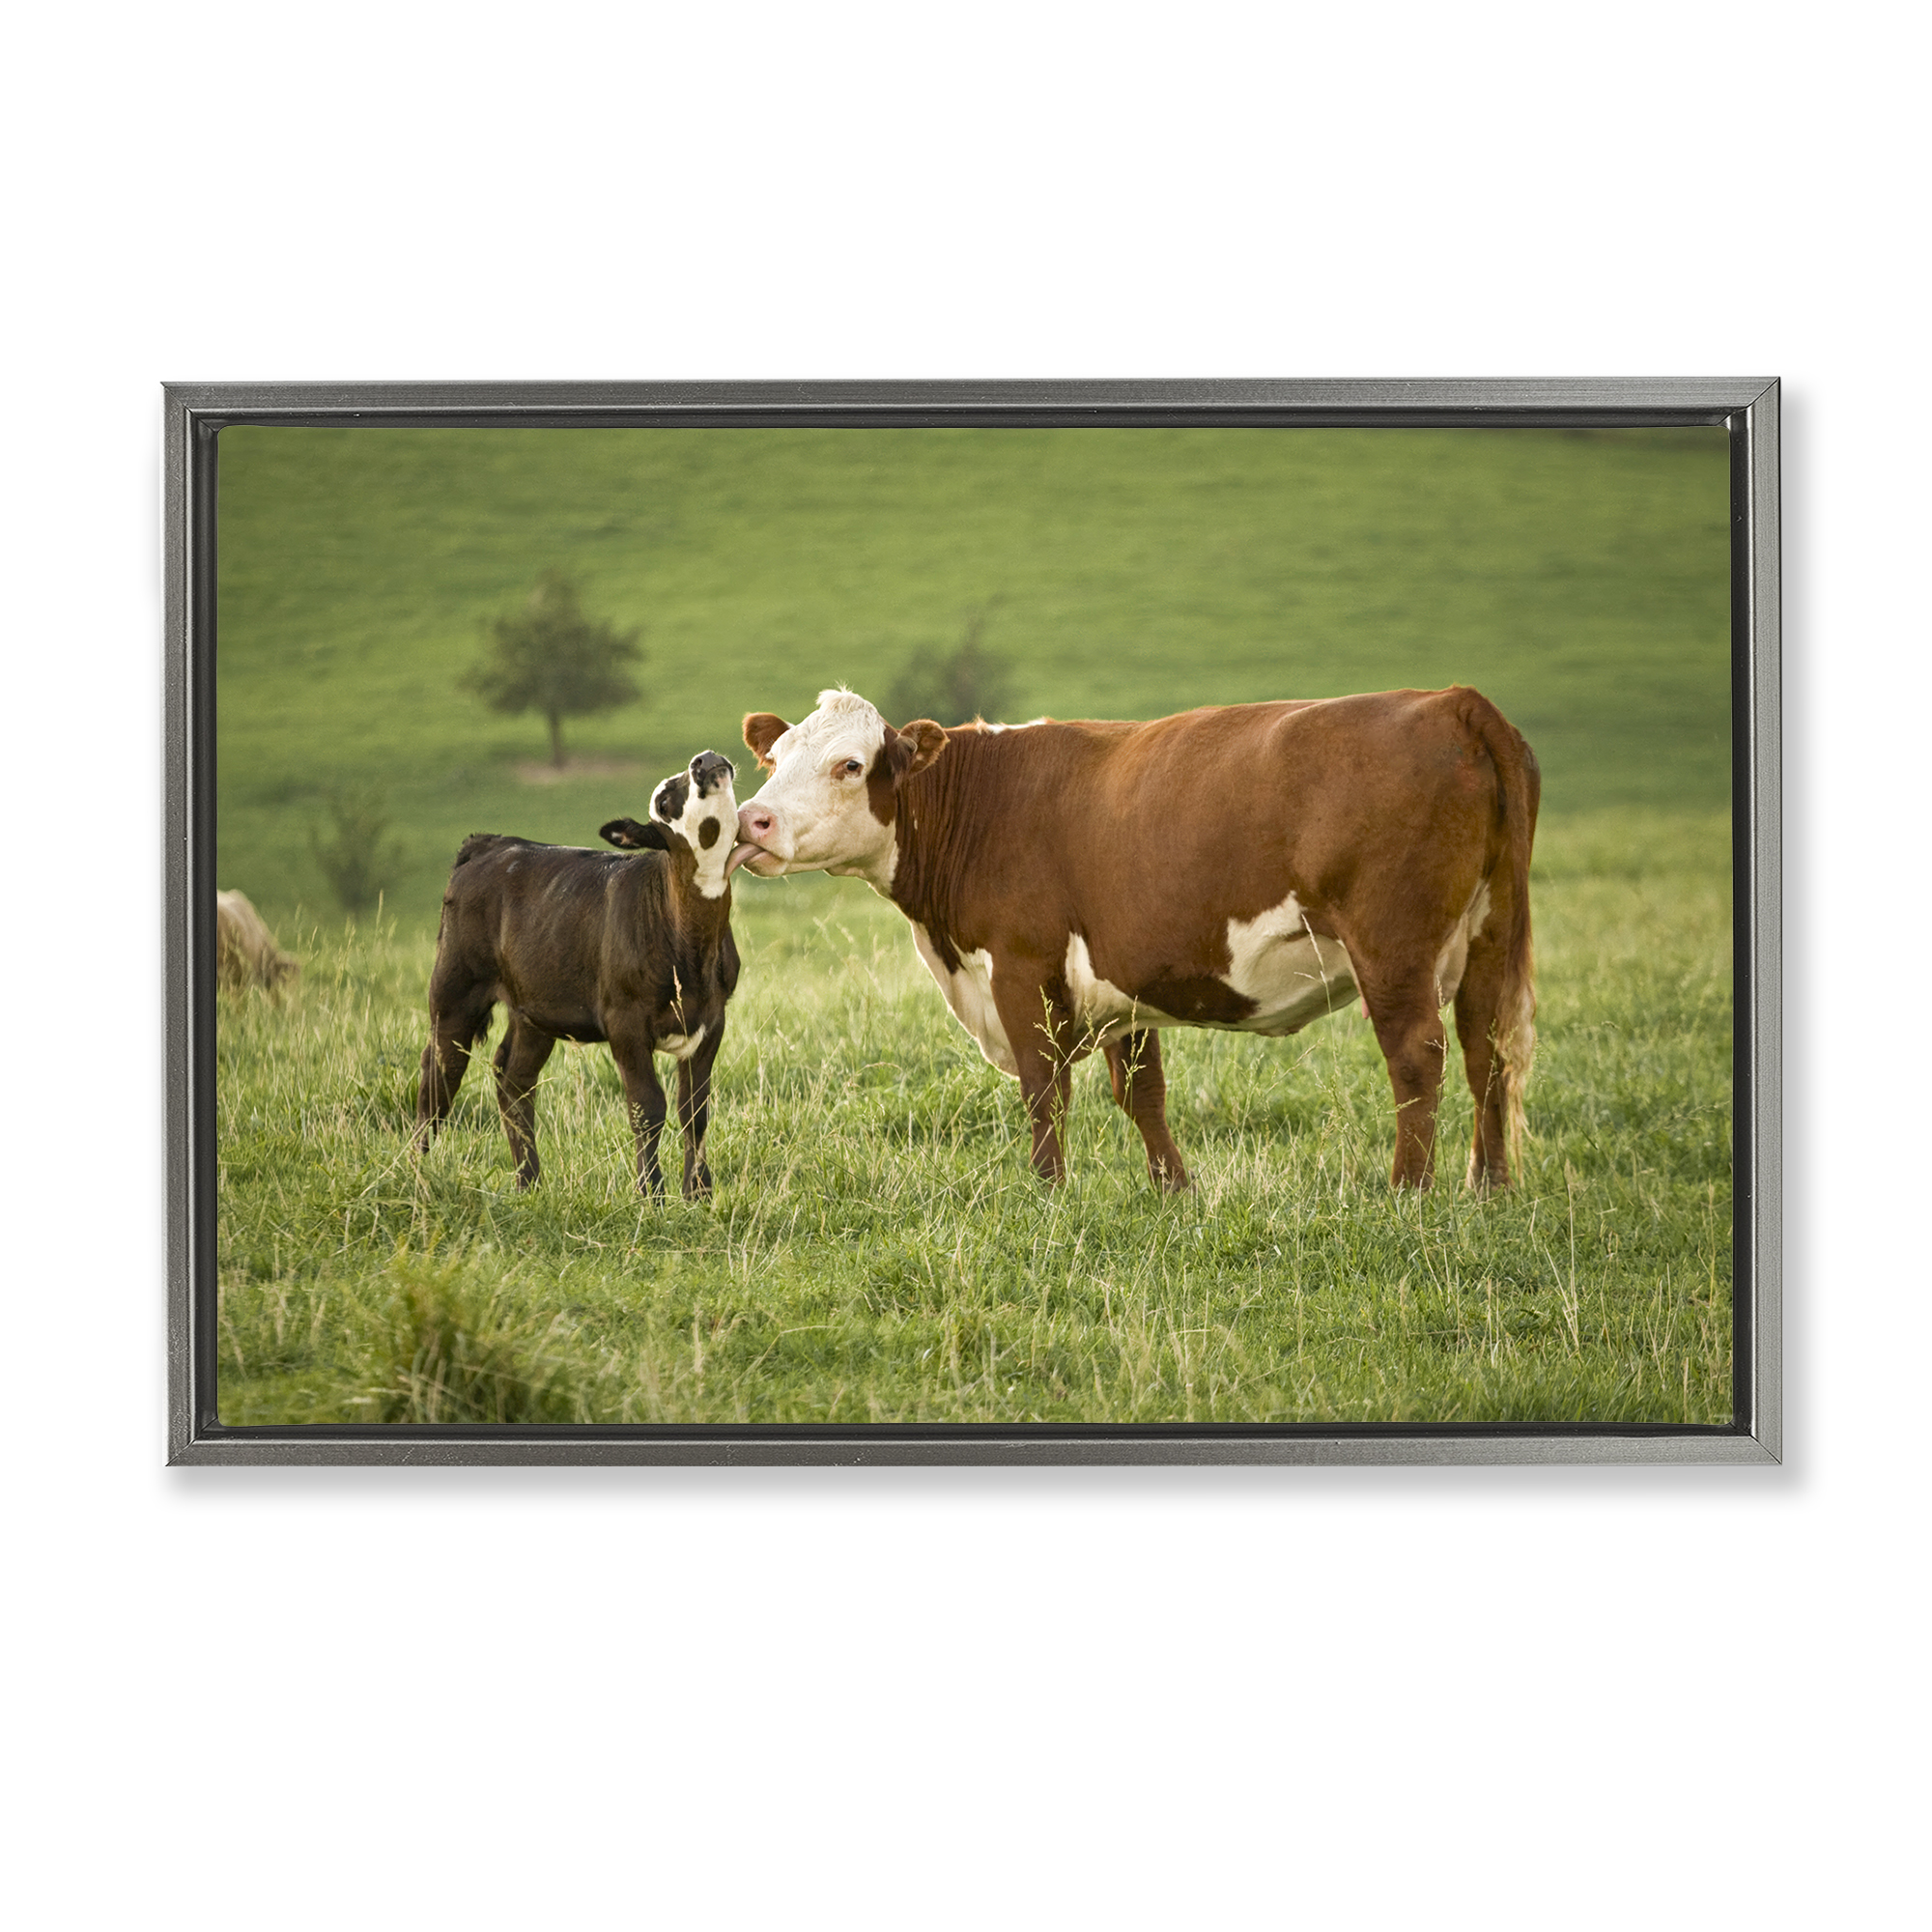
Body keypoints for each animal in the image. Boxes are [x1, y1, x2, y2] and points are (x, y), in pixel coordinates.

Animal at [414, 751, 757, 1197]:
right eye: (664, 801)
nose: (704, 760)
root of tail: (492, 843)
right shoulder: (624, 1020)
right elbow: (647, 1106)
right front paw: (652, 1193)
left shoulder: (712, 1017)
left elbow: (694, 1109)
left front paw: (699, 1193)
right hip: (455, 988)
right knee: (439, 1074)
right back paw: (416, 1172)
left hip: (535, 1009)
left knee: (513, 1080)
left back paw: (530, 1182)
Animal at [734, 688, 1538, 1193]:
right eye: (775, 760)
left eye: (850, 765)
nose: (751, 821)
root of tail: (1453, 700)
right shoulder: (1123, 981)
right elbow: (1142, 1093)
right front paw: (1174, 1190)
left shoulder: (1022, 968)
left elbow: (1044, 1089)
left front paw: (1049, 1191)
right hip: (1488, 936)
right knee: (1487, 1050)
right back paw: (1490, 1186)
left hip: (1392, 947)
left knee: (1418, 1057)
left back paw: (1410, 1190)